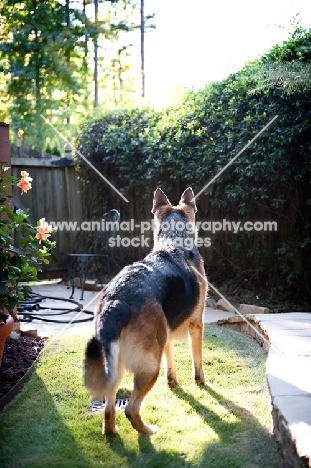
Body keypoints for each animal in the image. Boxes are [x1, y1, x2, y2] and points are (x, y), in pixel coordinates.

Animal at [84, 186, 208, 436]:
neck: (174, 242)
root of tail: (118, 299)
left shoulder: (166, 336)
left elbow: (171, 362)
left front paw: (173, 382)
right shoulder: (196, 326)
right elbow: (197, 361)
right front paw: (201, 382)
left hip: (116, 368)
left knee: (109, 408)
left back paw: (113, 432)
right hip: (149, 367)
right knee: (131, 408)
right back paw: (148, 431)